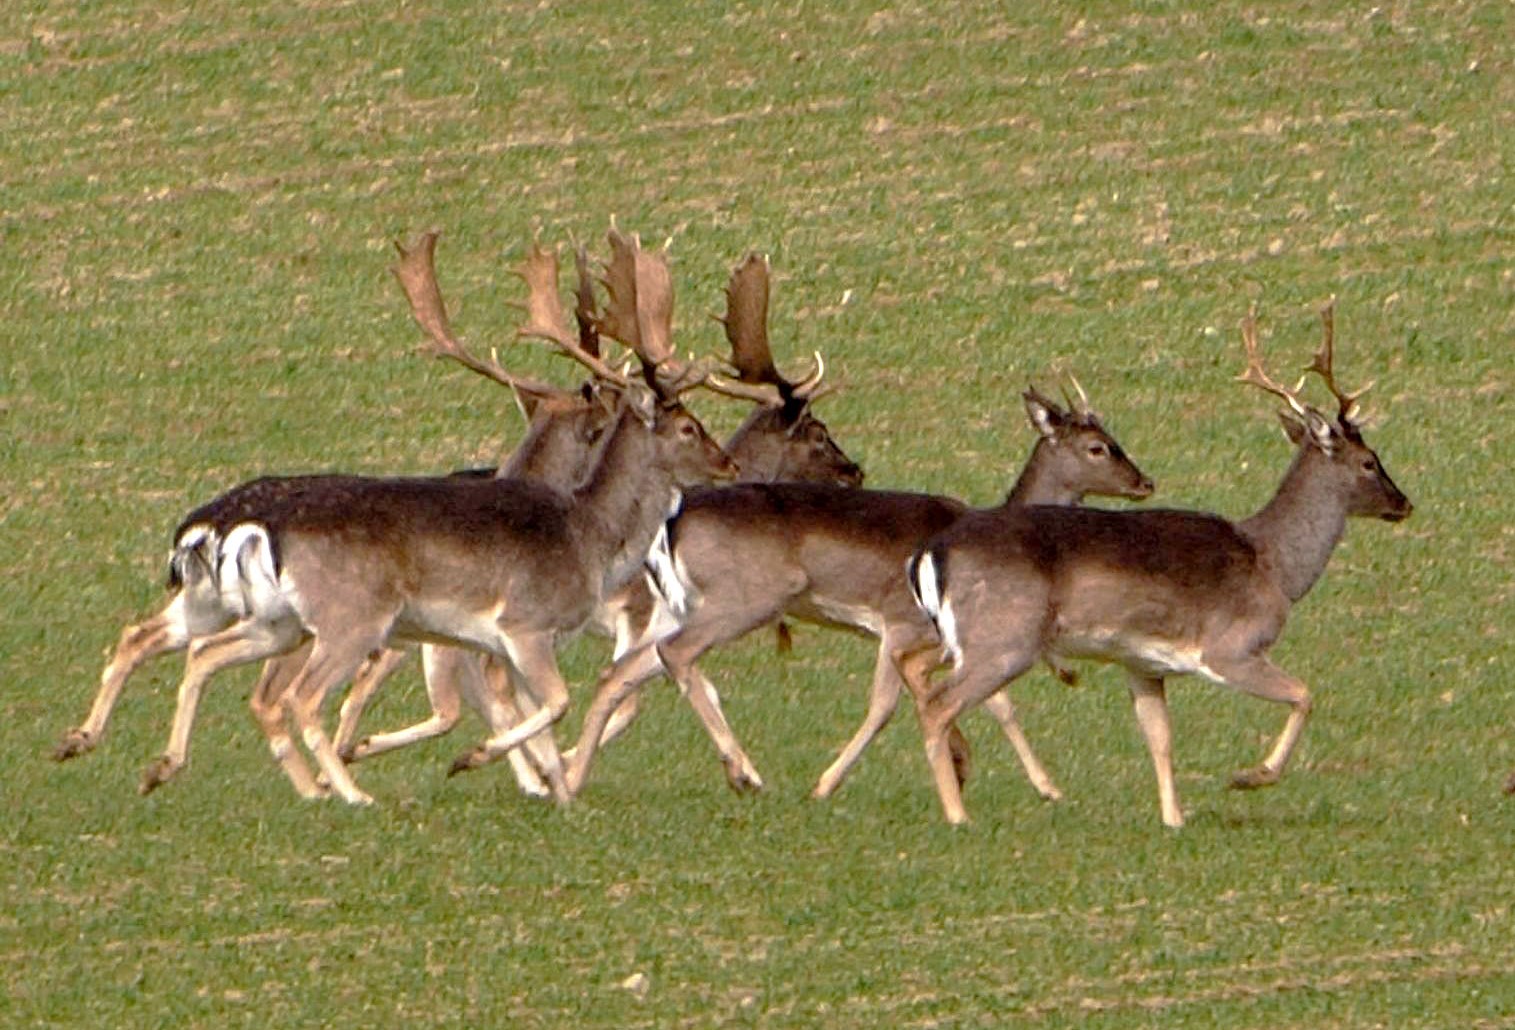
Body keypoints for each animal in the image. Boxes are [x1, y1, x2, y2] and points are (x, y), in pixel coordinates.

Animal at [563, 380, 1151, 805]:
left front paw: (965, 766)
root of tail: (669, 524)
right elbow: (899, 705)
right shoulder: (902, 622)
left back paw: (570, 779)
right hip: (742, 597)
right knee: (674, 656)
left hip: (680, 608)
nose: (1144, 481)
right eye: (1099, 447)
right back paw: (744, 772)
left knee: (620, 673)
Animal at [902, 304, 1411, 830]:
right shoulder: (1231, 646)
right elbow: (1304, 693)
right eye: (1370, 461)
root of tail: (929, 554)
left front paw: (1173, 818)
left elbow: (1160, 738)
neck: (1275, 567)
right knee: (939, 704)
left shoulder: (1142, 662)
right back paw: (958, 815)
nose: (1404, 503)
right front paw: (1249, 776)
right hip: (1003, 637)